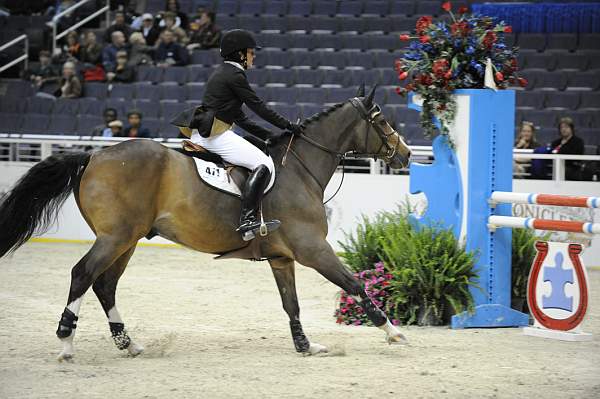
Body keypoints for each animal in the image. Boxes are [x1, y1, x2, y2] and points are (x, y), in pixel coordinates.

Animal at [0, 86, 412, 360]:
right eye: (381, 121)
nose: (406, 154)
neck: (299, 168)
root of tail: (93, 157)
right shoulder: (313, 249)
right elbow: (354, 284)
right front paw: (393, 333)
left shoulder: (282, 258)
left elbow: (291, 304)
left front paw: (305, 345)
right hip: (115, 237)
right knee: (83, 274)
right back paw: (66, 342)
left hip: (127, 239)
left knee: (105, 284)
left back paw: (129, 343)